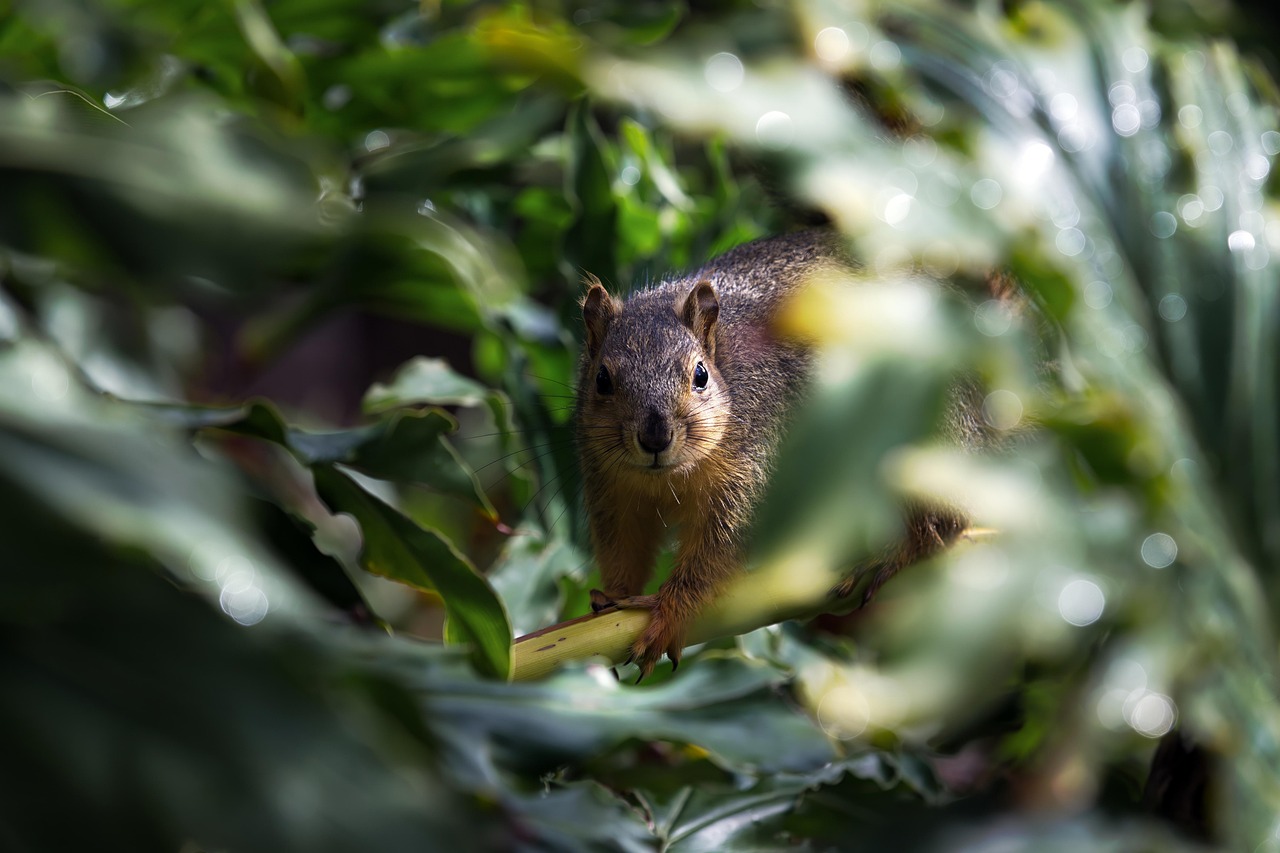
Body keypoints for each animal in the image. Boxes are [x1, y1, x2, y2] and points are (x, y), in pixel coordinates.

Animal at [576, 229, 984, 679]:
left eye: (700, 374)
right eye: (601, 379)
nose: (654, 438)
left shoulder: (752, 468)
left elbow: (715, 553)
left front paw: (668, 614)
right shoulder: (610, 486)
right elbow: (622, 543)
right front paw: (613, 596)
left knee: (944, 524)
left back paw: (890, 555)